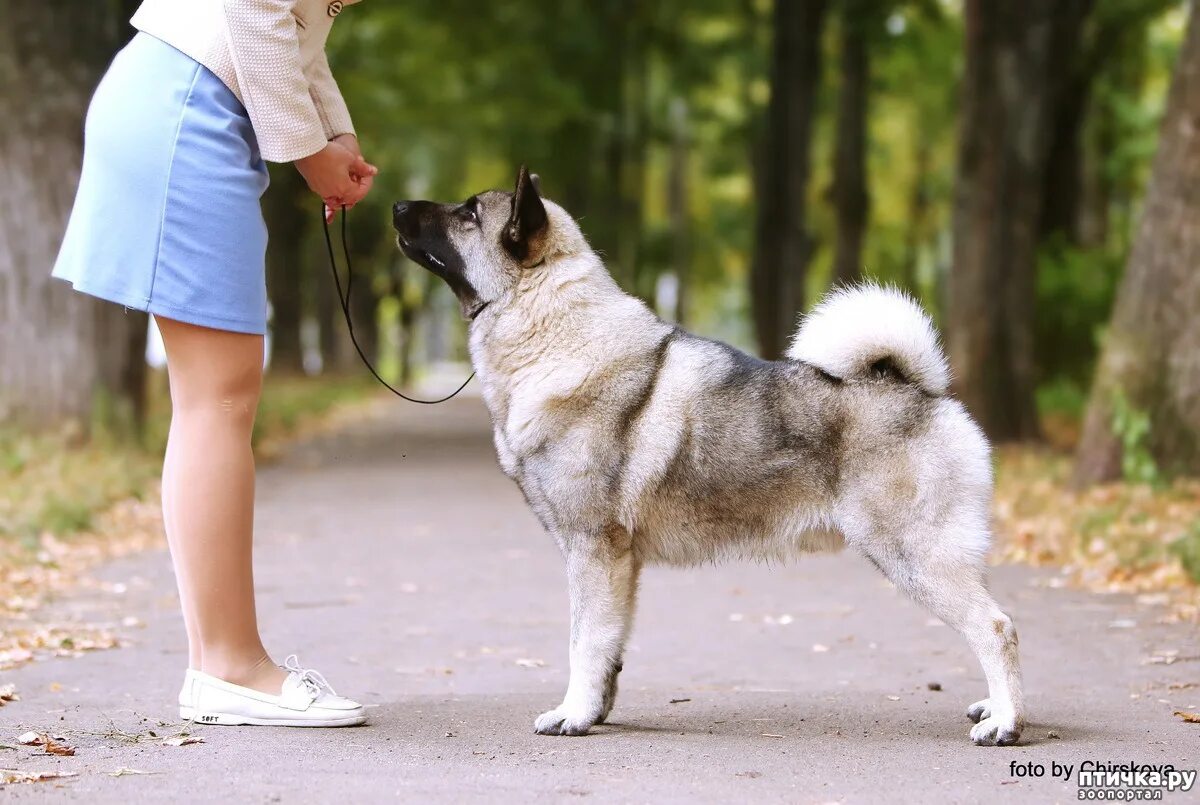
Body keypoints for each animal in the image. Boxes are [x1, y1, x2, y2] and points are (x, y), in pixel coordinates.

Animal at [391, 166, 1022, 748]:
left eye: (469, 212)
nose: (395, 204)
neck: (555, 332)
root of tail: (924, 391)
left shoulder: (593, 550)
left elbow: (583, 643)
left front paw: (573, 715)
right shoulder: (621, 564)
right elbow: (609, 649)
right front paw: (596, 711)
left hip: (915, 555)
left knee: (996, 628)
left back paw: (1007, 723)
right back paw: (994, 708)